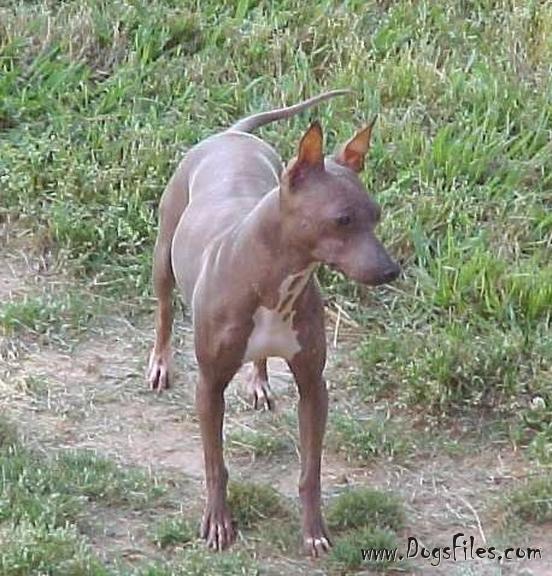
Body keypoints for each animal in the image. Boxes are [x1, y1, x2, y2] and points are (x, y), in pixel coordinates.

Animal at [147, 90, 400, 556]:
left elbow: (311, 471)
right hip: (163, 258)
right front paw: (217, 522)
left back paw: (259, 382)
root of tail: (232, 134)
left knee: (259, 357)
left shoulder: (314, 386)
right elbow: (215, 464)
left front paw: (314, 530)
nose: (391, 271)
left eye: (376, 214)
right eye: (342, 219)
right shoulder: (208, 387)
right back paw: (159, 363)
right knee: (164, 311)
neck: (276, 285)